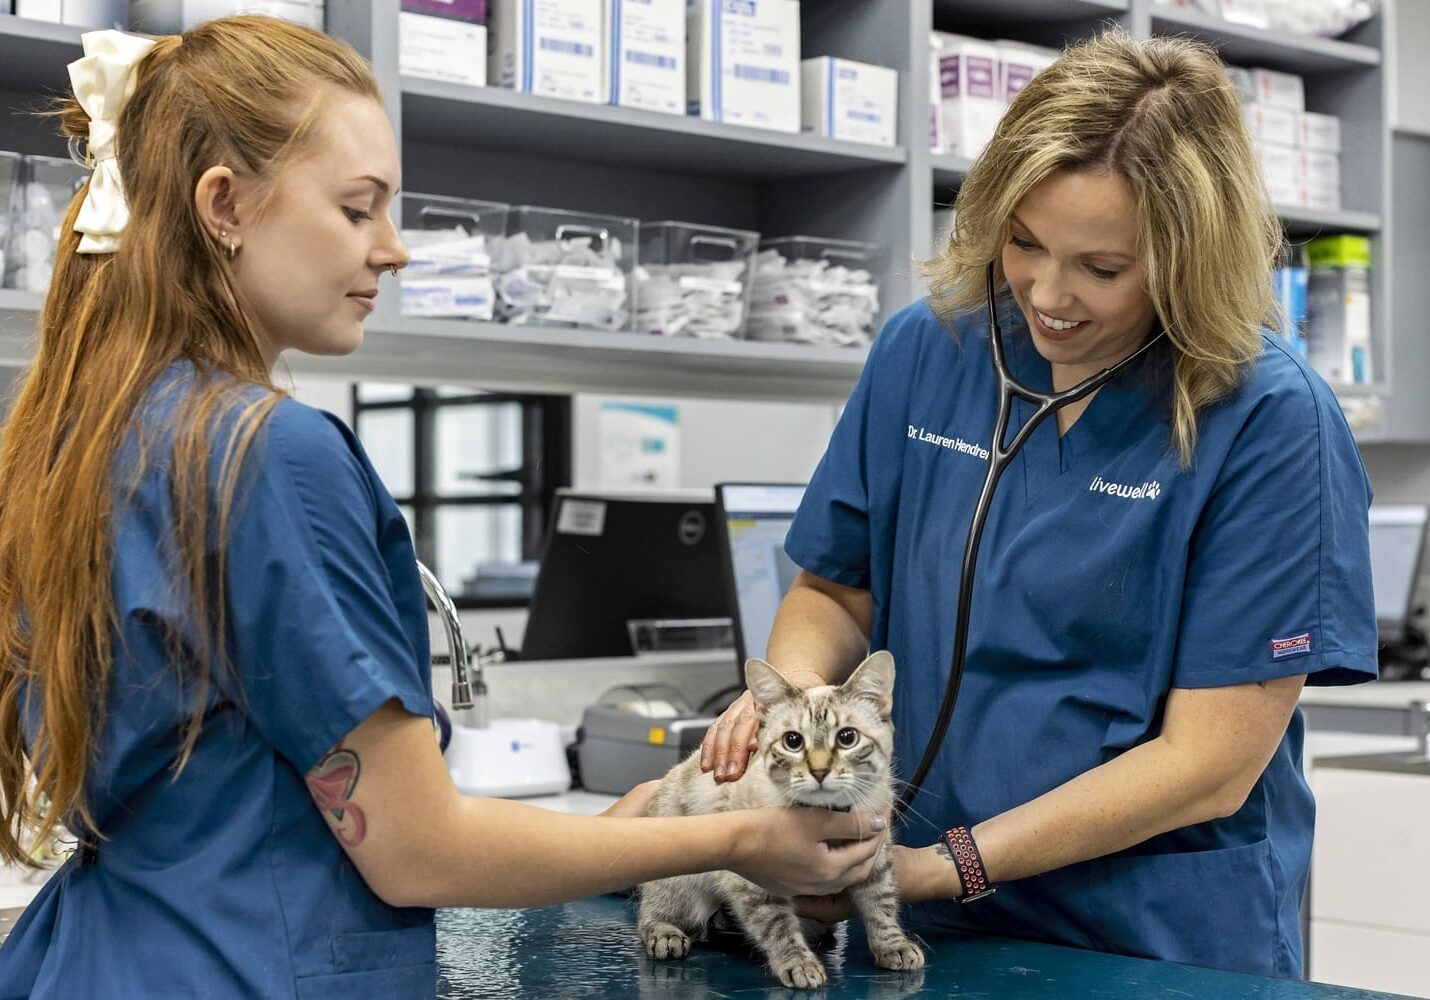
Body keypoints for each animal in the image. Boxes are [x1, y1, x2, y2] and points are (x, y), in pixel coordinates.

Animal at [640, 652, 926, 989]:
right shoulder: (752, 881)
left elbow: (881, 907)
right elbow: (778, 927)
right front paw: (799, 965)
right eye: (793, 741)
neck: (828, 813)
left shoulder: (876, 859)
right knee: (653, 911)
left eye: (847, 738)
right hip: (679, 881)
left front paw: (894, 947)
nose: (819, 771)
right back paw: (666, 935)